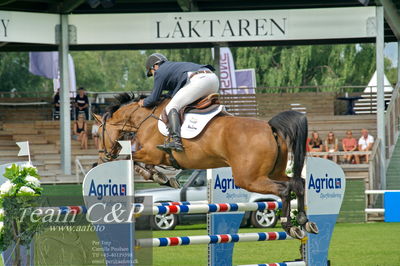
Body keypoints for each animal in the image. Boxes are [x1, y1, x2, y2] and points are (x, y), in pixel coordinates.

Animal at [94, 93, 318, 239]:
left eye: (96, 134)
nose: (100, 159)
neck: (144, 118)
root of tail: (270, 127)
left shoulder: (151, 152)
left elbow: (131, 158)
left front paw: (159, 177)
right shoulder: (155, 156)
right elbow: (138, 161)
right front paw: (164, 177)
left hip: (249, 178)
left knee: (284, 189)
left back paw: (289, 226)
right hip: (274, 172)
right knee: (297, 183)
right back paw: (305, 221)